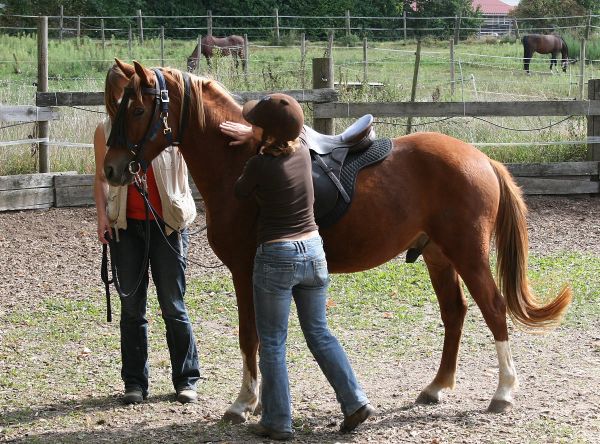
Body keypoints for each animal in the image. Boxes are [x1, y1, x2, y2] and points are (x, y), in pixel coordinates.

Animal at [105, 60, 576, 424]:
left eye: (138, 108)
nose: (111, 168)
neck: (240, 157)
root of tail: (481, 158)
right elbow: (261, 334)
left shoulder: (244, 270)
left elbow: (249, 335)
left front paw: (244, 403)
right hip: (439, 256)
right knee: (455, 313)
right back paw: (436, 387)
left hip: (468, 253)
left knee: (494, 309)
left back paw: (504, 392)